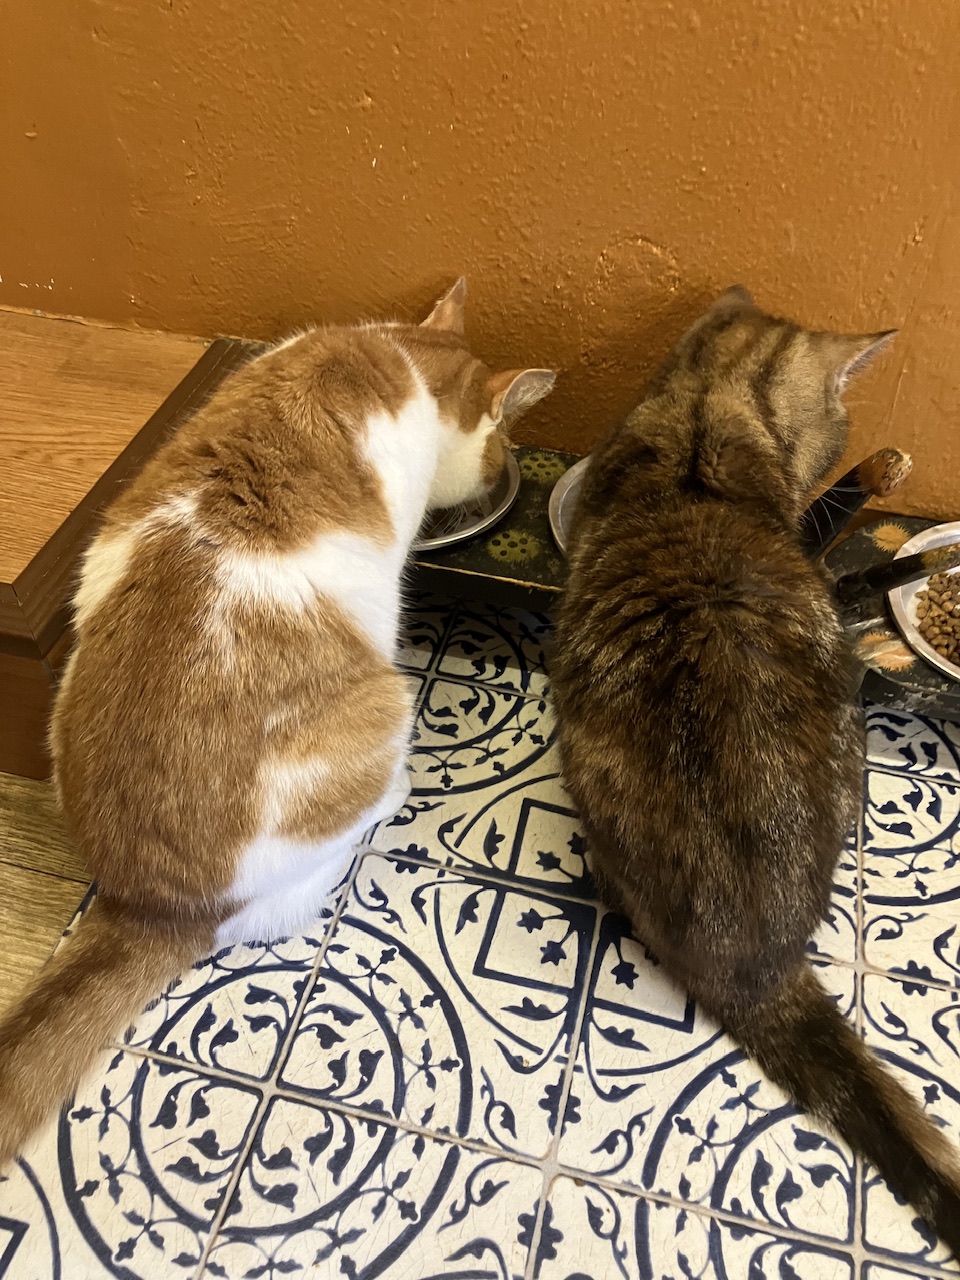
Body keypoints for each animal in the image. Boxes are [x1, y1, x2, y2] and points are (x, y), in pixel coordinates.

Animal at [0, 277, 554, 1168]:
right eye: (502, 442)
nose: (499, 466)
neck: (392, 352)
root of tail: (146, 903)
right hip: (383, 706)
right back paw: (387, 803)